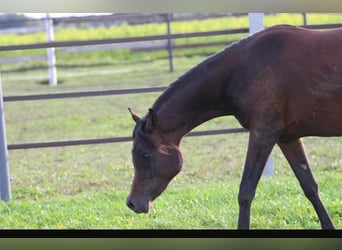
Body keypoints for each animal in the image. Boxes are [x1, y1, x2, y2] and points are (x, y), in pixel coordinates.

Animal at [126, 24, 342, 229]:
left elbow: (246, 191)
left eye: (145, 155)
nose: (131, 203)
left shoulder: (263, 134)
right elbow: (309, 186)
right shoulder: (287, 138)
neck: (241, 69)